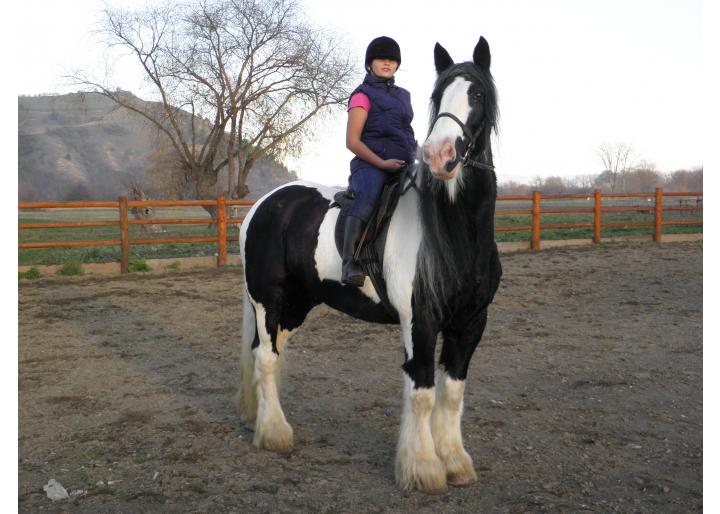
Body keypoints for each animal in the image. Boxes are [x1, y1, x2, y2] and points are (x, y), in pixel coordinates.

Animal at [236, 37, 500, 492]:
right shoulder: (420, 320)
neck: (457, 233)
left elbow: (452, 392)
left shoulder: (471, 321)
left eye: (478, 94)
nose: (439, 155)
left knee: (267, 352)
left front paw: (455, 462)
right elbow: (422, 390)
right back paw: (275, 434)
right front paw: (423, 468)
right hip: (267, 299)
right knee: (267, 357)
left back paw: (262, 420)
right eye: (437, 97)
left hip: (297, 304)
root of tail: (263, 205)